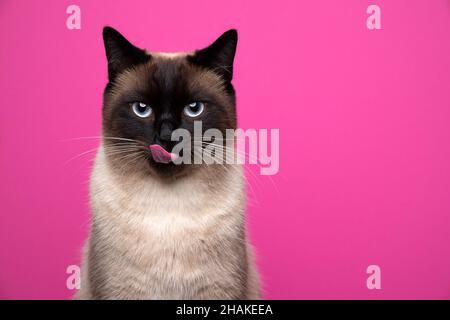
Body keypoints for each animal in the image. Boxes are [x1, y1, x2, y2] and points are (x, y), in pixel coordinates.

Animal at [76, 27, 260, 300]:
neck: (168, 205)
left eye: (194, 108)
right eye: (142, 109)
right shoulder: (123, 290)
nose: (166, 137)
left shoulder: (217, 291)